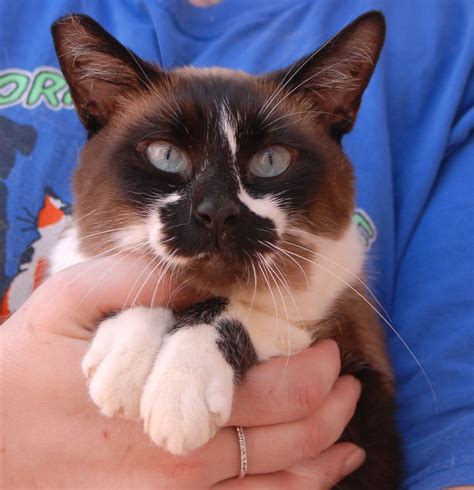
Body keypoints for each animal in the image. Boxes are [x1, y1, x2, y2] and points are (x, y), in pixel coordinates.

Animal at [51, 10, 400, 486]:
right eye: (166, 156)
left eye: (270, 162)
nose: (216, 211)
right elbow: (134, 277)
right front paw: (122, 366)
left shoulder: (347, 352)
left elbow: (229, 310)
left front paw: (178, 399)